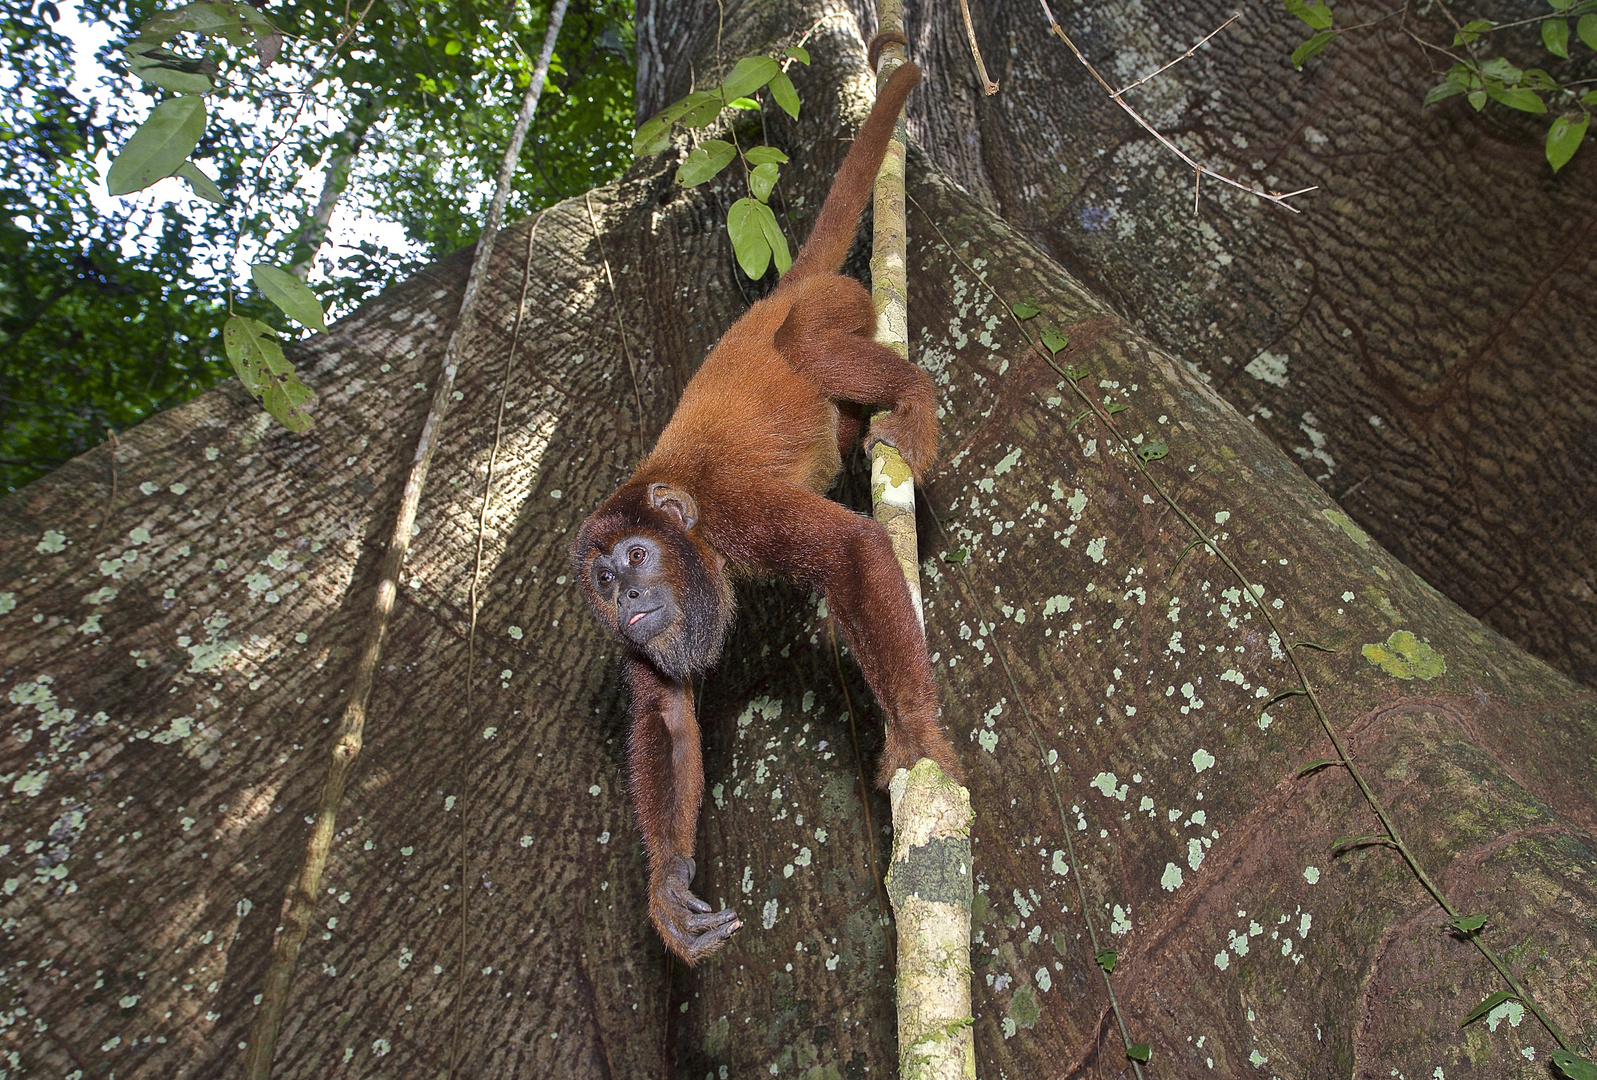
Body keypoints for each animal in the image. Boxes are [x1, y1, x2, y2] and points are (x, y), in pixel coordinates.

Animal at [574, 59, 958, 964]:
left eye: (635, 559)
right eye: (602, 583)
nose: (628, 596)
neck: (687, 529)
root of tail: (774, 294)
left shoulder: (733, 511)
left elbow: (853, 552)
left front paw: (916, 734)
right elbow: (667, 715)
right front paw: (665, 887)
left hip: (835, 302)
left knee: (810, 348)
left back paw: (913, 403)